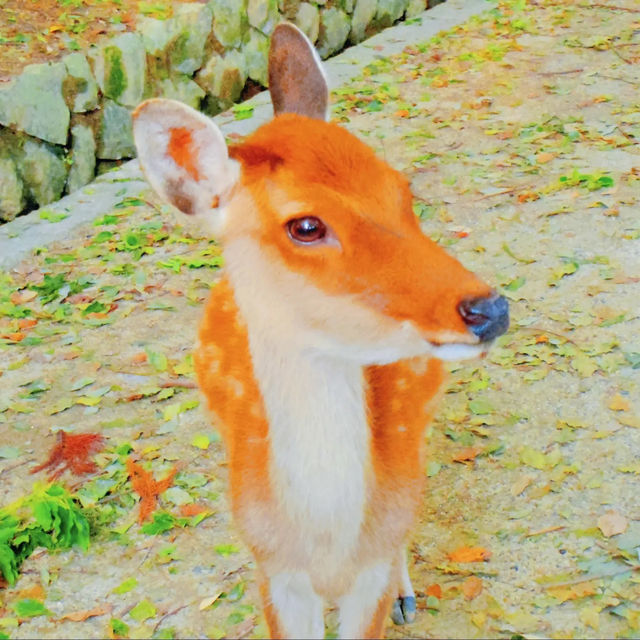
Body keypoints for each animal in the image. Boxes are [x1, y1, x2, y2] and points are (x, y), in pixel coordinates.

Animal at [131, 22, 510, 640]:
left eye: (401, 191)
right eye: (306, 225)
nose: (490, 309)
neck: (326, 546)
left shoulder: (373, 560)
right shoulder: (272, 568)